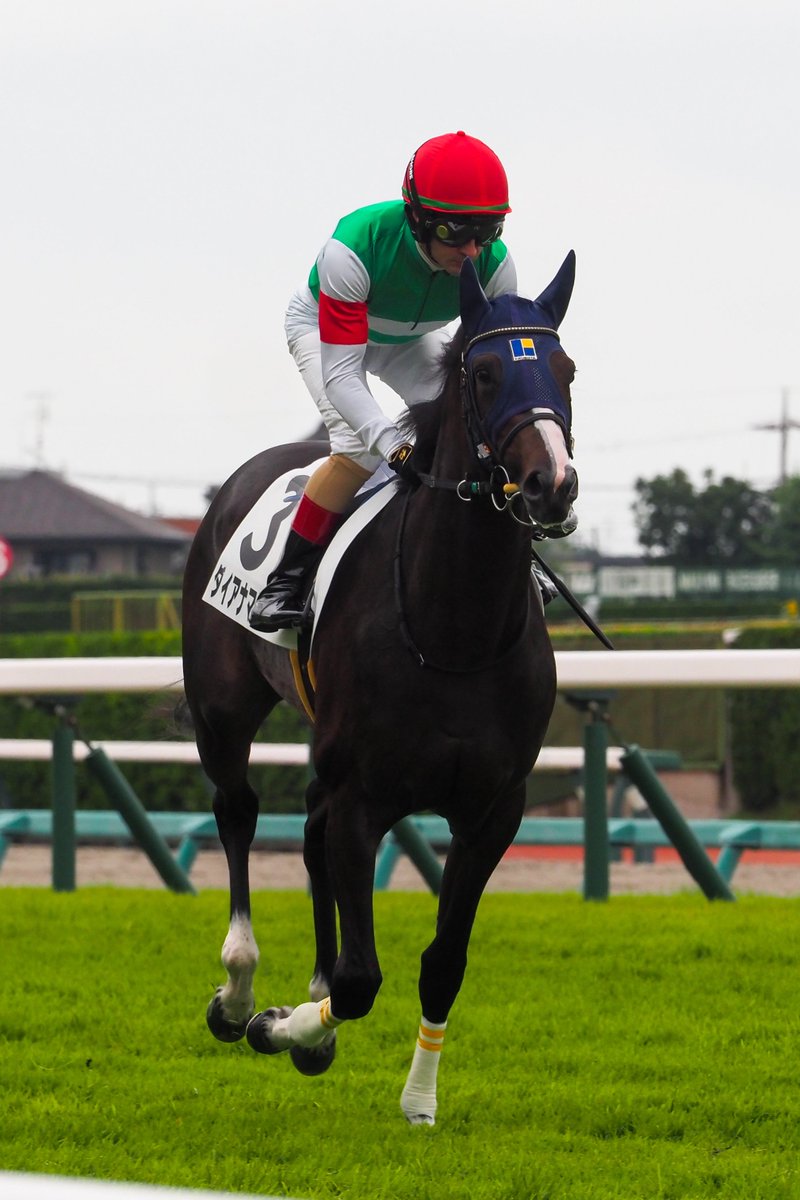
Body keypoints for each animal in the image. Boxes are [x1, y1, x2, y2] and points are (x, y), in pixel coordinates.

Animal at [181, 253, 578, 1125]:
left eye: (566, 369)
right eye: (487, 372)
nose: (552, 485)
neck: (454, 631)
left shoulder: (493, 810)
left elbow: (443, 963)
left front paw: (416, 1099)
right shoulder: (365, 795)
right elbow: (364, 979)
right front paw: (280, 1026)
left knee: (306, 832)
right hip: (222, 710)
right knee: (238, 812)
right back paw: (239, 990)